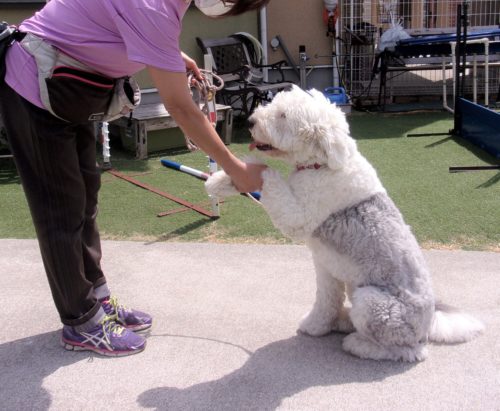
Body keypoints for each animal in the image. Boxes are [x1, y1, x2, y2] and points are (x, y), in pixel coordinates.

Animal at [205, 85, 484, 362]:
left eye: (283, 115)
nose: (250, 121)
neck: (319, 165)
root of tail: (428, 325)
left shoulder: (298, 216)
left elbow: (267, 175)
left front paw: (252, 171)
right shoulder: (325, 268)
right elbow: (325, 301)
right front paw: (217, 182)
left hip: (372, 301)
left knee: (407, 351)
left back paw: (358, 344)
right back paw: (343, 321)